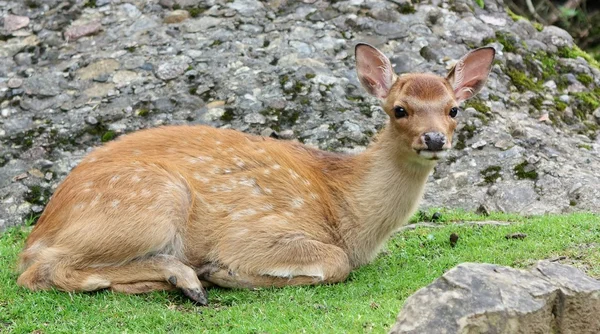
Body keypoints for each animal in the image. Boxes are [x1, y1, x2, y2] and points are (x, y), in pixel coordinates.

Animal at [16, 43, 494, 304]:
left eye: (454, 109)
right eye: (400, 109)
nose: (434, 139)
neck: (346, 209)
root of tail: (43, 226)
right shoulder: (253, 230)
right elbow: (334, 263)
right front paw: (225, 273)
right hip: (152, 201)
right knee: (42, 271)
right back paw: (186, 279)